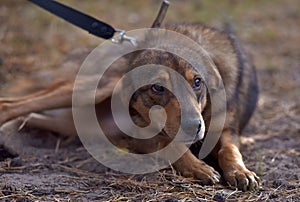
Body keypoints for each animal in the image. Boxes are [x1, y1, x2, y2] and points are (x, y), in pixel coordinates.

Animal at [0, 22, 260, 191]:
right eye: (157, 88)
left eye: (197, 82)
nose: (194, 127)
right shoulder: (142, 135)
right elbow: (171, 147)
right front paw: (199, 167)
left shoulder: (226, 130)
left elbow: (229, 150)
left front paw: (241, 172)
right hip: (95, 88)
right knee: (10, 104)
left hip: (72, 122)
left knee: (31, 114)